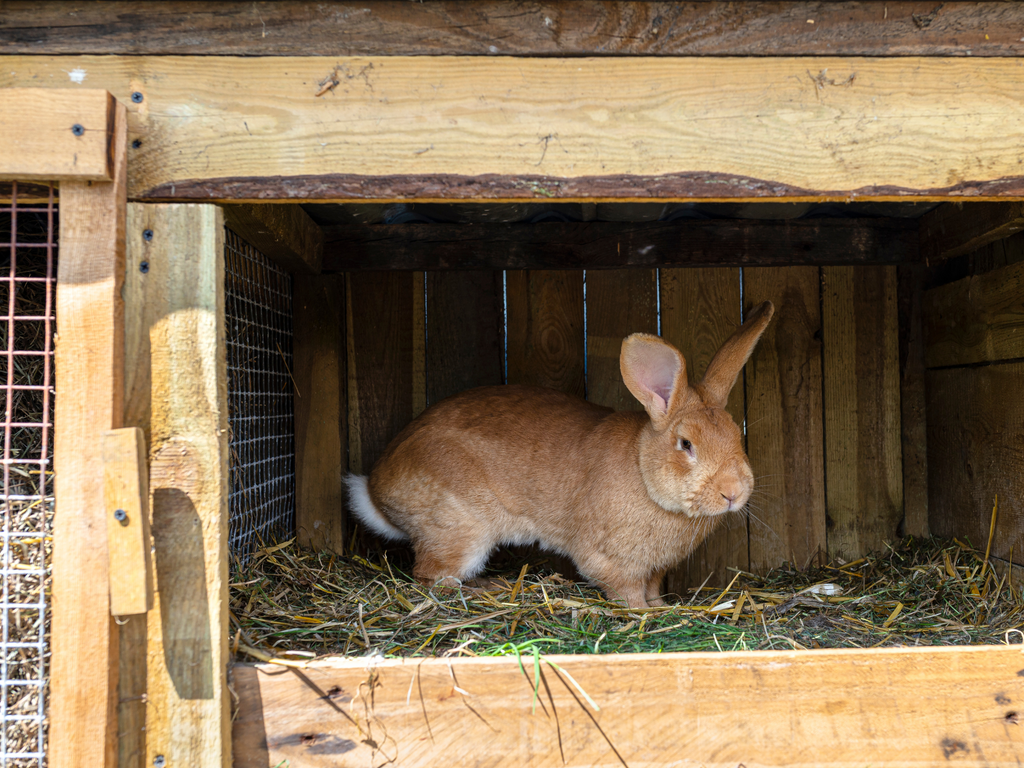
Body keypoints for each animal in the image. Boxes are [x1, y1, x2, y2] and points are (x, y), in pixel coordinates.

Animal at [348, 301, 770, 606]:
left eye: (737, 434)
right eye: (686, 445)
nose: (733, 493)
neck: (643, 472)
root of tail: (376, 490)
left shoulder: (654, 570)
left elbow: (652, 590)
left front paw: (663, 609)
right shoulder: (610, 560)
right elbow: (628, 594)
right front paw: (645, 615)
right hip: (460, 530)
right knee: (431, 578)